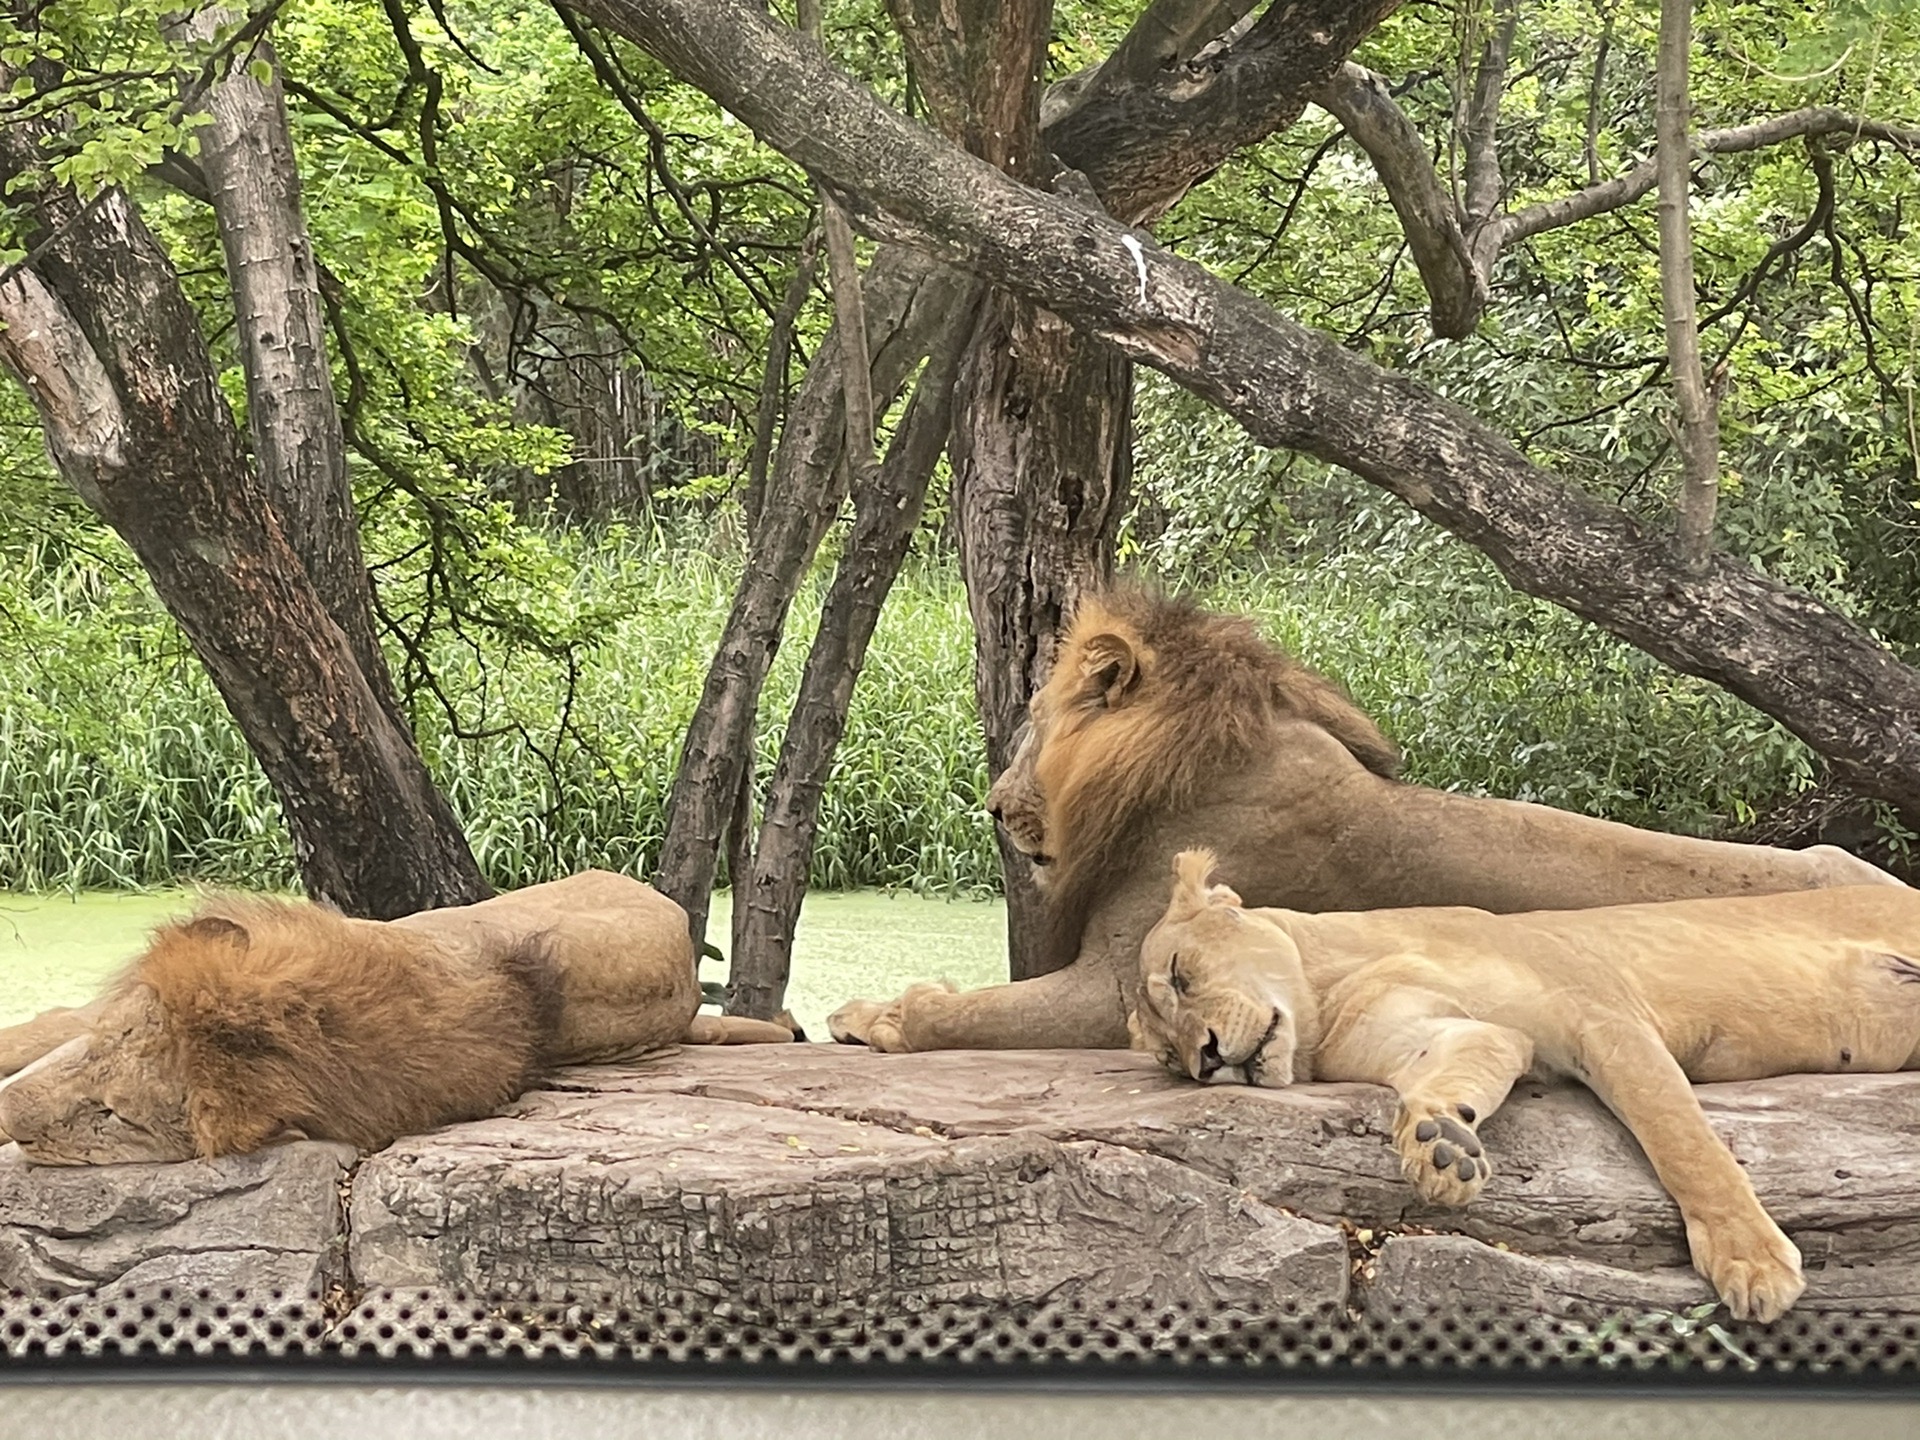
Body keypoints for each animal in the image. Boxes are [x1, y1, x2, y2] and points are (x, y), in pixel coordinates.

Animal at [1121, 852, 1920, 1328]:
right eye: (1169, 1058)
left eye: (1183, 975)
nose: (1208, 1060)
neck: (1328, 985)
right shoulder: (1458, 1031)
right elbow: (1462, 1061)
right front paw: (1440, 1148)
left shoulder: (1602, 1017)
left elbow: (1683, 1141)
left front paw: (1751, 1263)